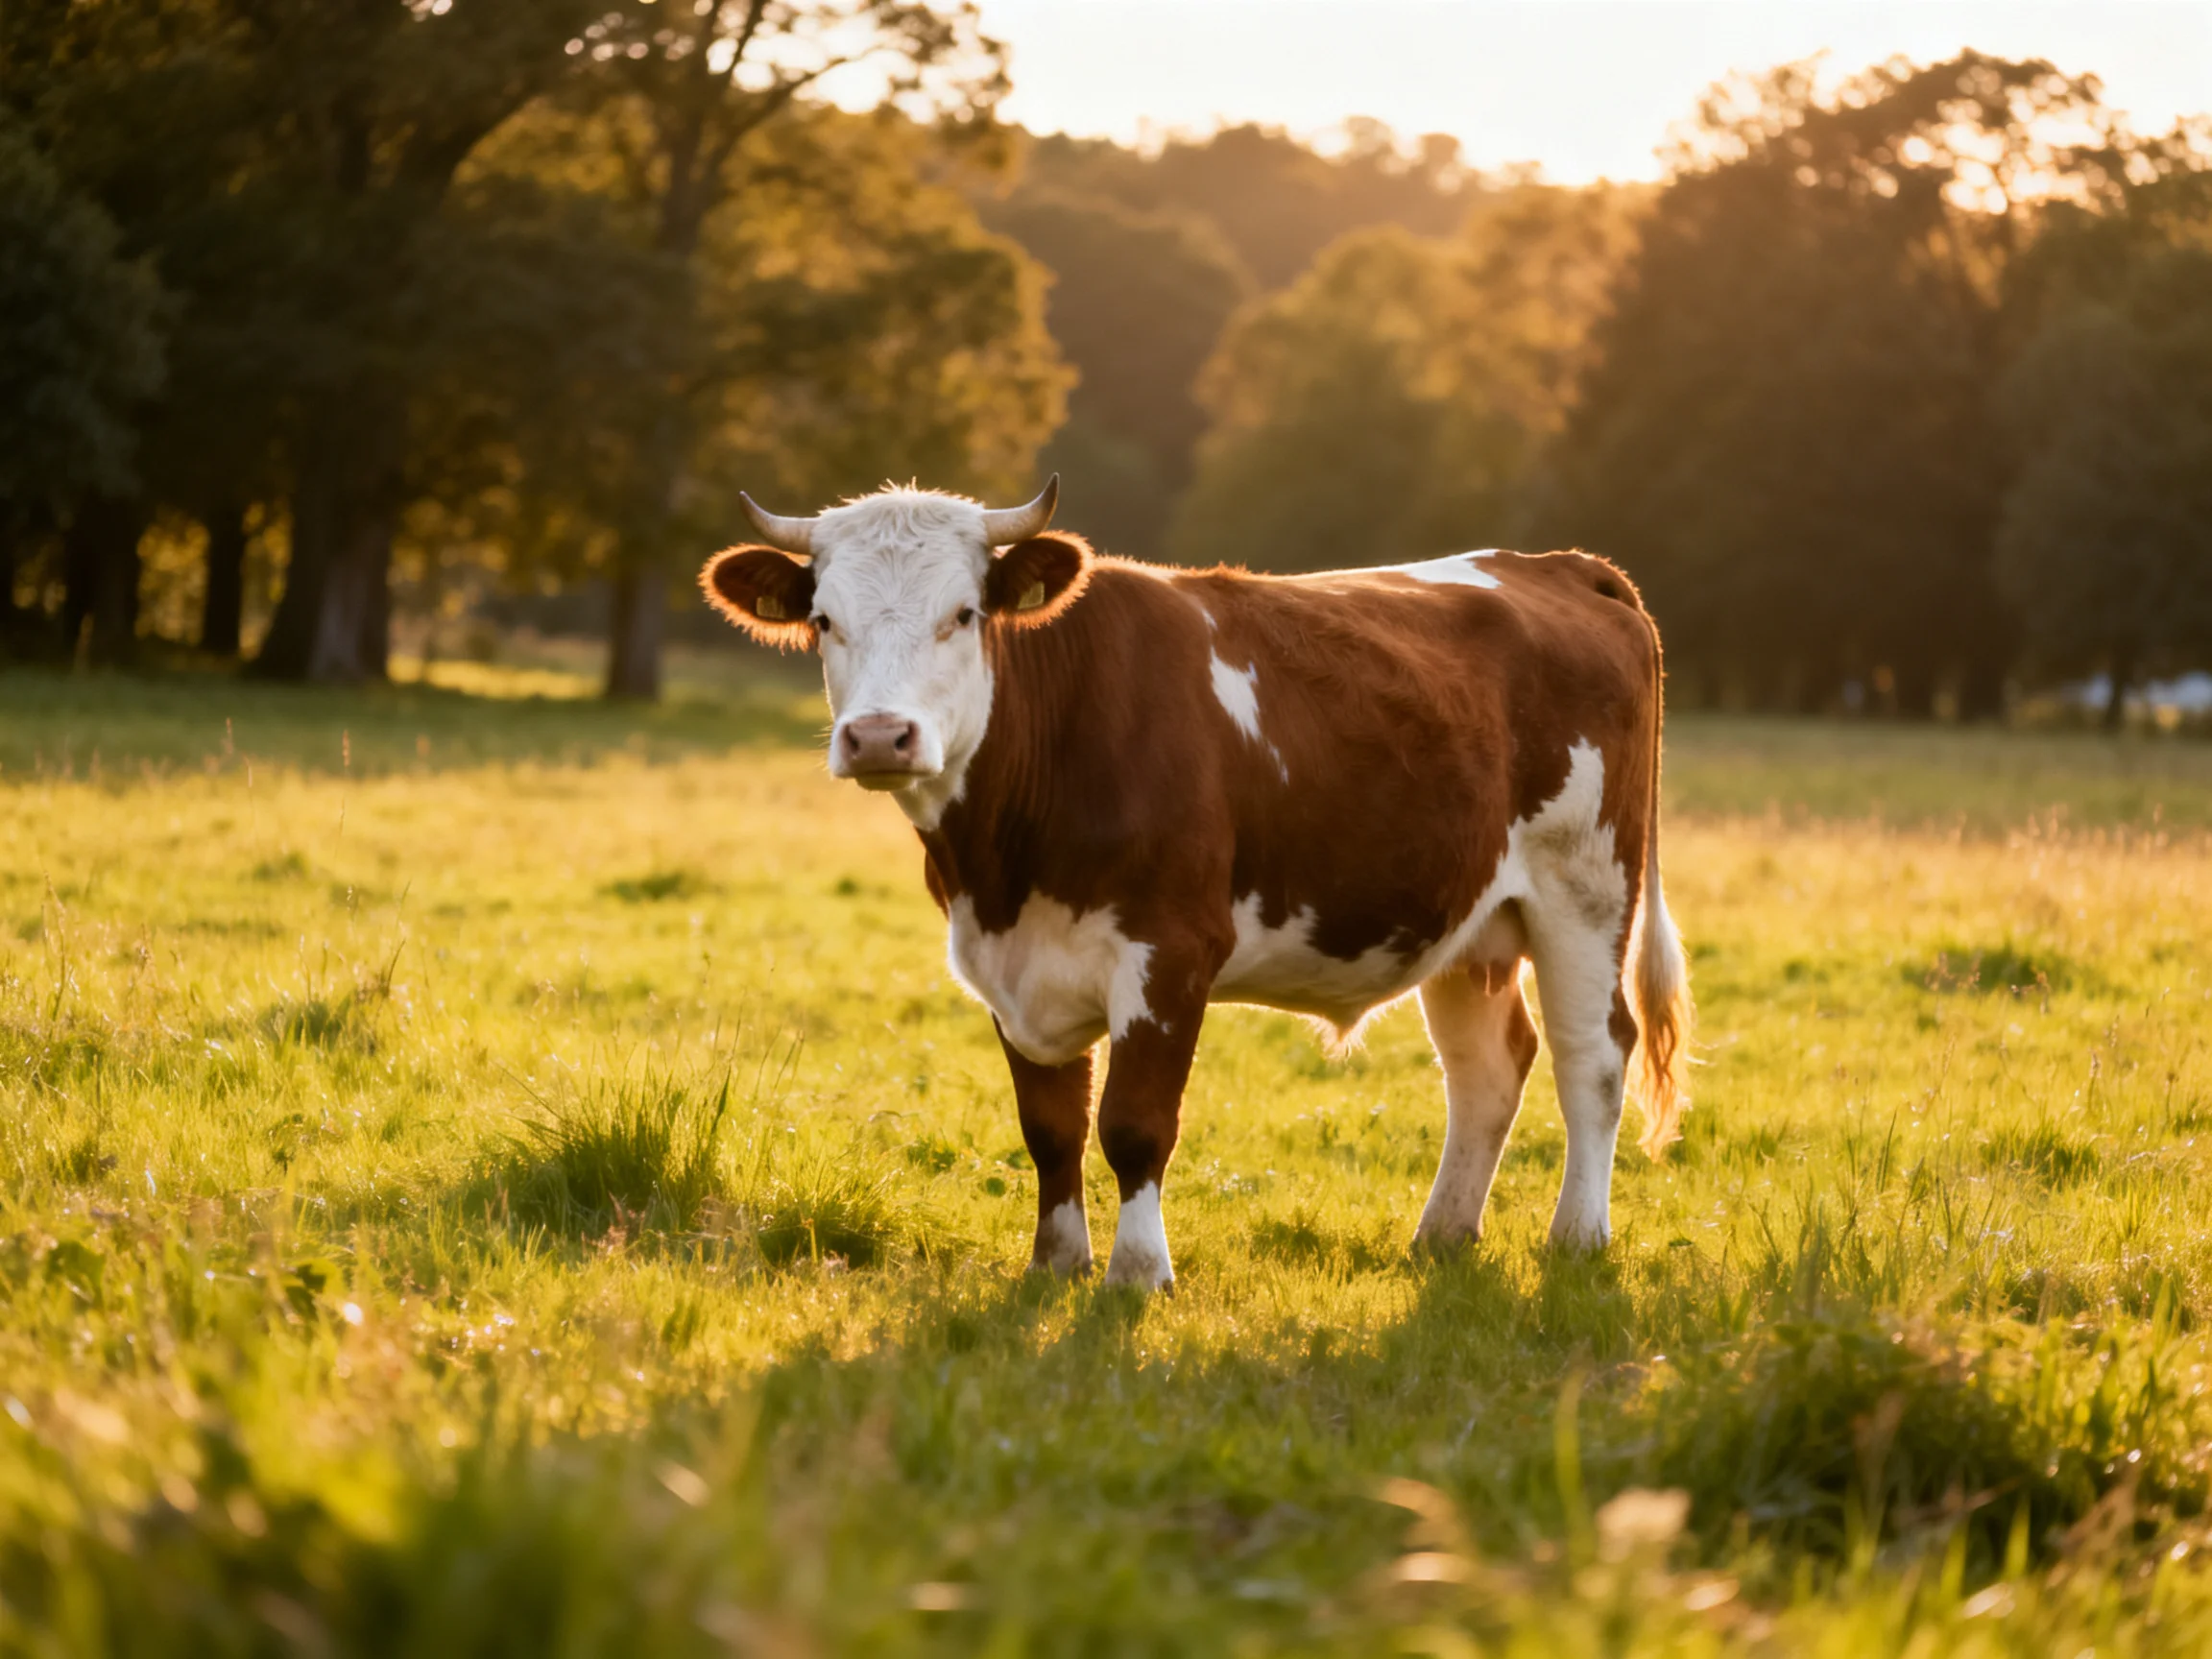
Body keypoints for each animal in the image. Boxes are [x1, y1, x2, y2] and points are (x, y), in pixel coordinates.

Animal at [700, 477, 1692, 1291]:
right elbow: (1050, 1127)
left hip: (1586, 889)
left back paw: (1576, 1239)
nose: (878, 736)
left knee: (1594, 1055)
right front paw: (1055, 1267)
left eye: (964, 613)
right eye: (825, 621)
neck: (1004, 865)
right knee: (1488, 1066)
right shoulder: (1008, 967)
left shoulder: (1171, 950)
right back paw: (1440, 1237)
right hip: (1468, 918)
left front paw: (1139, 1276)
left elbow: (1134, 1123)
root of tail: (1559, 566)